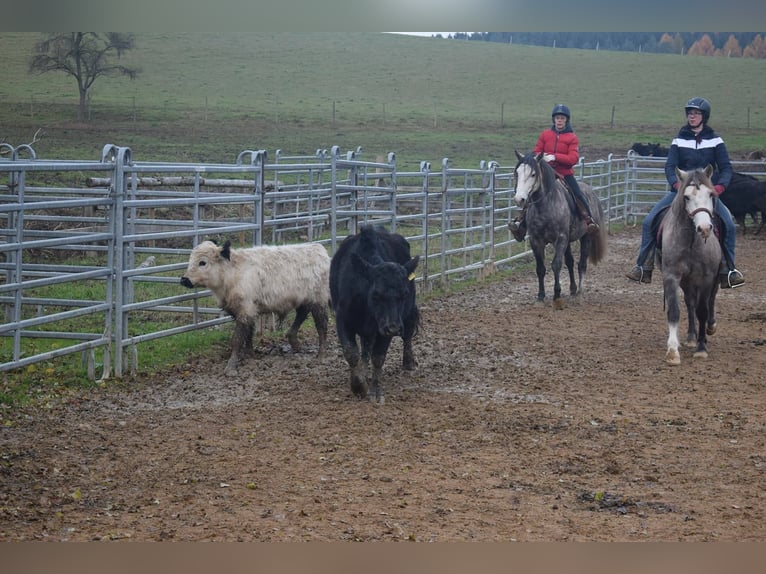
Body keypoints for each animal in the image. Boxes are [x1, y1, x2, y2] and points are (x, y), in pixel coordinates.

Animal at [185, 240, 332, 378]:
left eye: (202, 262)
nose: (184, 279)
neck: (232, 273)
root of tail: (321, 251)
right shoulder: (248, 310)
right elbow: (248, 334)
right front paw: (250, 355)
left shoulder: (245, 310)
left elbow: (237, 339)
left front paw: (231, 367)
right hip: (305, 300)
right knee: (302, 314)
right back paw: (294, 341)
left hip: (319, 301)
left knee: (322, 325)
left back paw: (322, 355)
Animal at [332, 225, 424, 404]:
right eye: (376, 294)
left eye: (403, 294)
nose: (394, 328)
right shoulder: (343, 320)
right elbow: (351, 352)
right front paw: (359, 386)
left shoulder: (385, 328)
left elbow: (378, 357)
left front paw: (375, 391)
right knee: (365, 348)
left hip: (407, 314)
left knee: (407, 334)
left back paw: (408, 362)